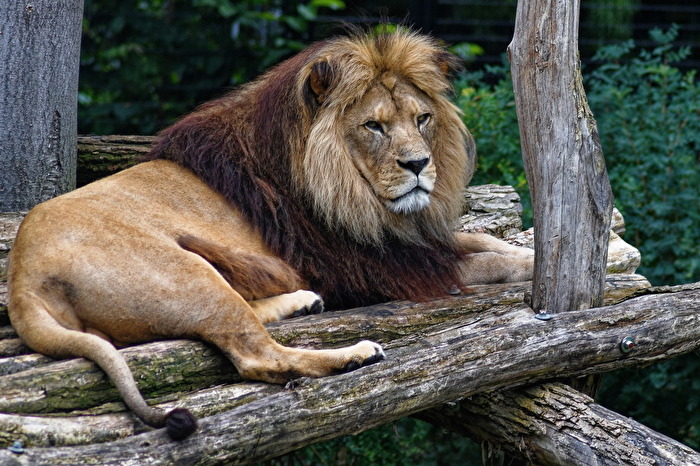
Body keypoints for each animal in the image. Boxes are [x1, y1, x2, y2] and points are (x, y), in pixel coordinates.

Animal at [7, 29, 533, 440]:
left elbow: (486, 243)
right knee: (257, 357)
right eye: (374, 126)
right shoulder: (372, 267)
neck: (363, 201)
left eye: (422, 118)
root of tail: (21, 281)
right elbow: (485, 262)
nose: (420, 164)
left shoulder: (401, 244)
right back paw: (354, 355)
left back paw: (303, 302)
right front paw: (533, 266)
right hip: (184, 273)